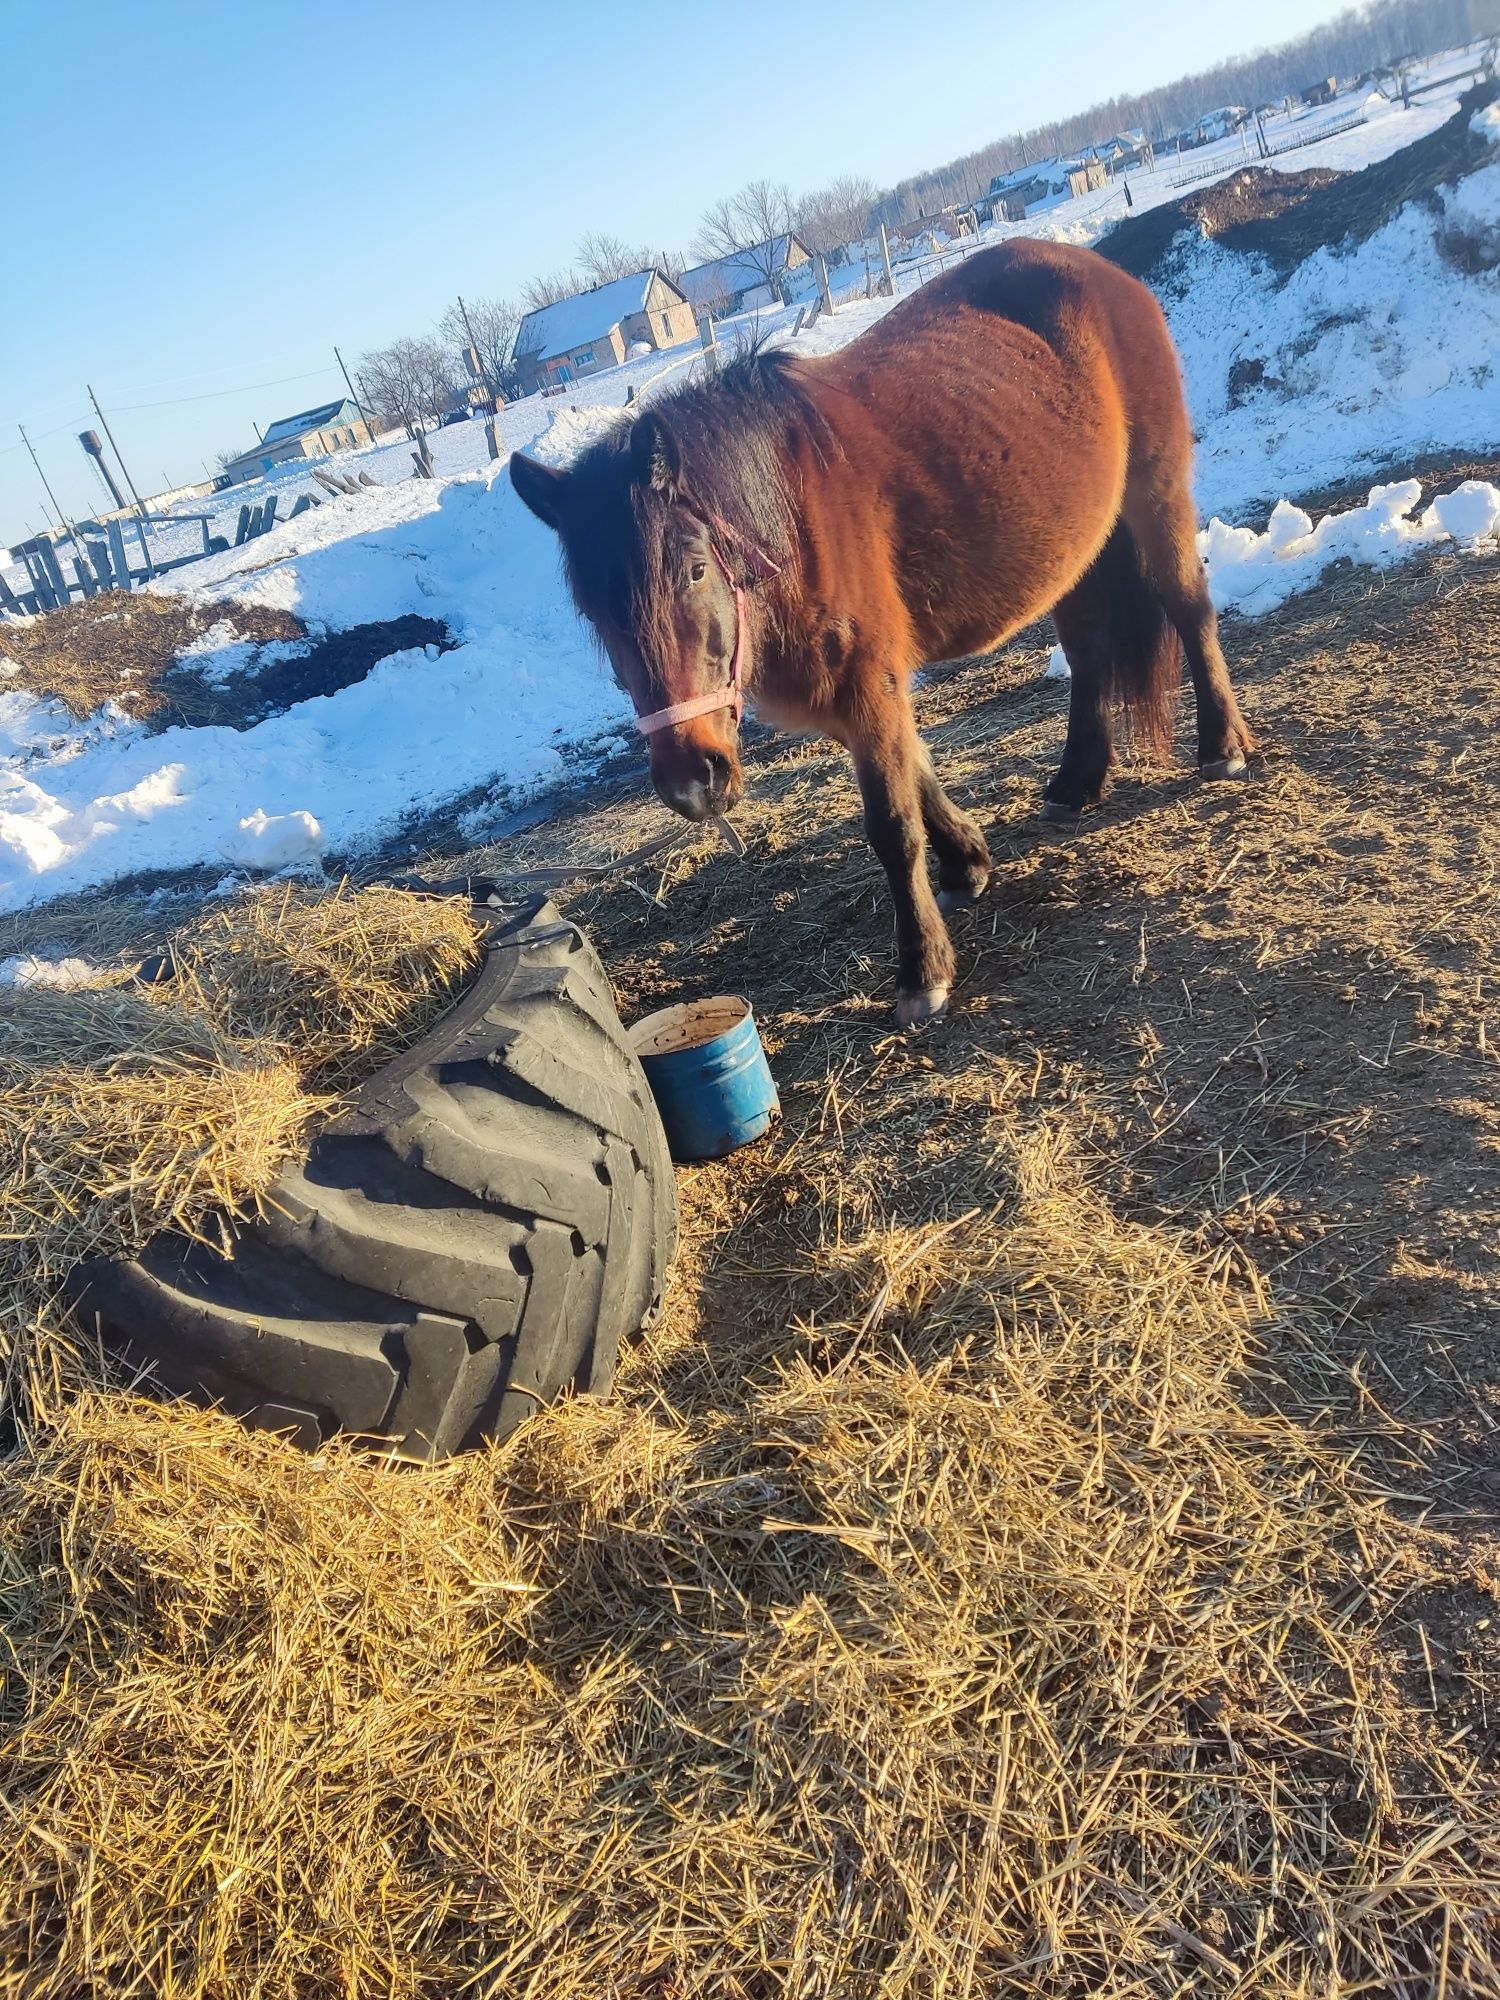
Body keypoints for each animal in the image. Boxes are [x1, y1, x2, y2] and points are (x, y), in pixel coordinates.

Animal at [512, 236, 1248, 1024]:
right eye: (592, 611)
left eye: (694, 570)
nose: (691, 781)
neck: (795, 524)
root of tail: (1097, 268)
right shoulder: (858, 697)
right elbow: (916, 773)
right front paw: (966, 863)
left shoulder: (867, 682)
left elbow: (892, 825)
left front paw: (923, 970)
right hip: (1076, 550)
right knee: (1086, 652)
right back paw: (1077, 781)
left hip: (1154, 491)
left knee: (1189, 609)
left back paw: (1222, 747)